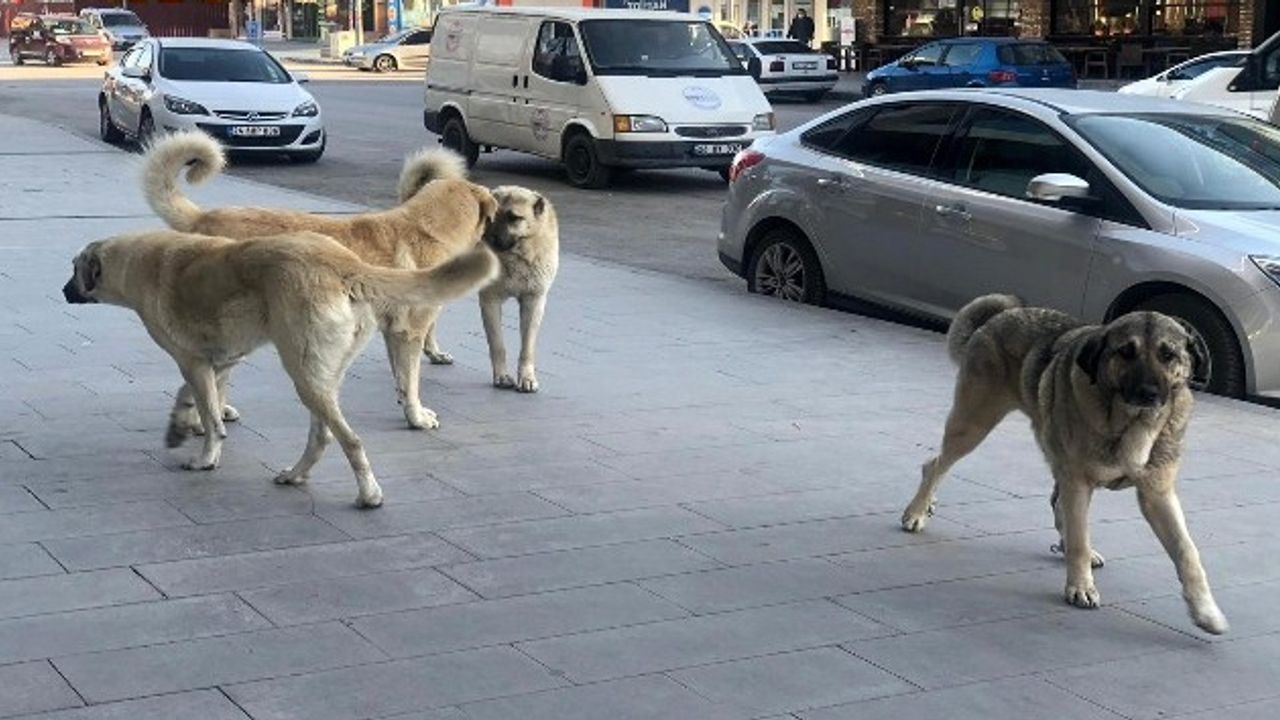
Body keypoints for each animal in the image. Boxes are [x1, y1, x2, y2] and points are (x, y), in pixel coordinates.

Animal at [63, 230, 498, 508]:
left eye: (73, 268)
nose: (63, 292)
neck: (135, 263)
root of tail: (345, 263)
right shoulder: (221, 359)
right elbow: (198, 398)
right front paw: (181, 426)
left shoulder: (192, 362)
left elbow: (209, 414)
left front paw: (206, 456)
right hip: (320, 375)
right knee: (322, 435)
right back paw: (296, 474)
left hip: (303, 374)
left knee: (350, 440)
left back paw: (368, 495)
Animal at [142, 131, 507, 435]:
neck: (427, 228)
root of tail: (202, 218)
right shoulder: (409, 333)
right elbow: (412, 380)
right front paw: (417, 417)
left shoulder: (393, 332)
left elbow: (402, 381)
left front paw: (409, 409)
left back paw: (220, 411)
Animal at [398, 176, 559, 393]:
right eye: (492, 216)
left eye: (514, 218)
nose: (488, 239)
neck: (516, 255)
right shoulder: (491, 300)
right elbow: (498, 344)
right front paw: (502, 376)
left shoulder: (534, 301)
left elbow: (527, 347)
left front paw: (527, 377)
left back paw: (434, 353)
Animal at [901, 294, 1228, 635]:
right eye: (1126, 352)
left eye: (1168, 355)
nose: (1148, 393)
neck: (1131, 423)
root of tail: (1002, 314)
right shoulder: (1079, 482)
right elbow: (1079, 539)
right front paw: (1081, 586)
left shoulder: (1157, 495)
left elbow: (1187, 552)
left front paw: (1205, 610)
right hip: (973, 423)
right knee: (935, 464)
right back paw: (917, 510)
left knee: (1058, 504)